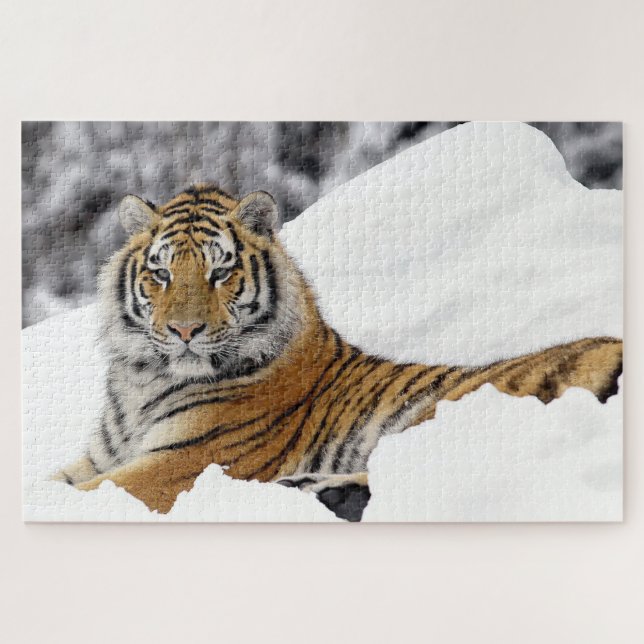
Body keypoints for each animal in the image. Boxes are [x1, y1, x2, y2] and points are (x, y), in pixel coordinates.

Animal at [53, 184, 623, 521]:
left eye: (220, 271)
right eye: (161, 273)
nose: (184, 330)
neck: (143, 382)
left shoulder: (178, 463)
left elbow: (76, 494)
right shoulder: (97, 458)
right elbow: (59, 480)